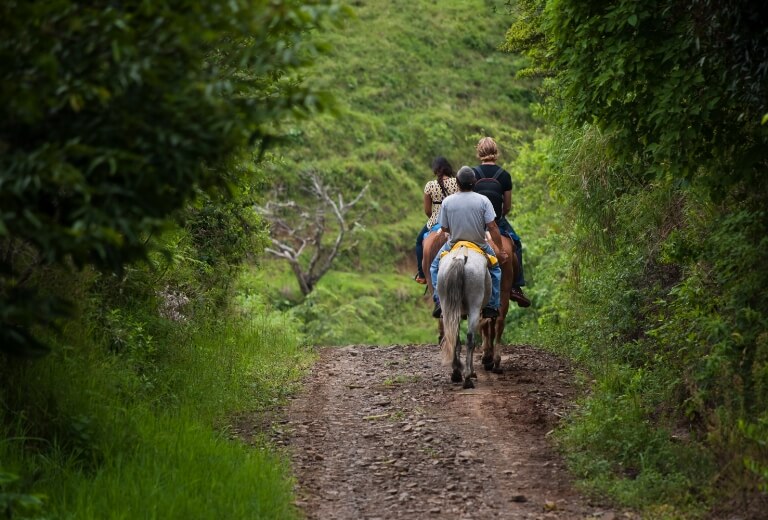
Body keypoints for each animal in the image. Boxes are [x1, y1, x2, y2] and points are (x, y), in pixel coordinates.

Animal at [438, 246, 492, 388]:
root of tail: (461, 257)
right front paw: (472, 372)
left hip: (447, 307)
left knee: (453, 337)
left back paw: (457, 372)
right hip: (474, 306)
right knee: (470, 339)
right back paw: (467, 377)